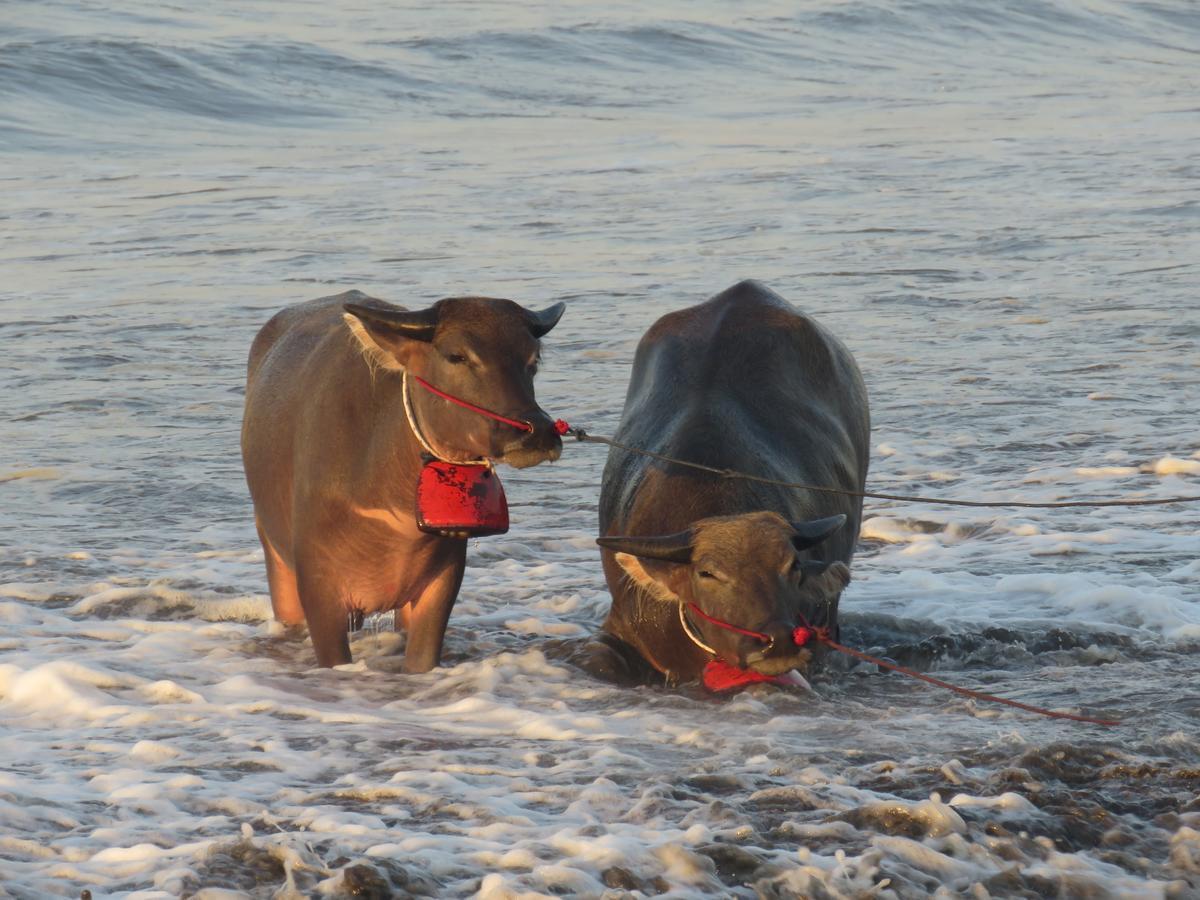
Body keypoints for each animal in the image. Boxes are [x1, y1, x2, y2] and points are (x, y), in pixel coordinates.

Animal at [243, 289, 566, 672]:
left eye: (533, 360)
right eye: (457, 355)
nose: (538, 431)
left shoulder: (441, 584)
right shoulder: (318, 589)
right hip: (274, 553)